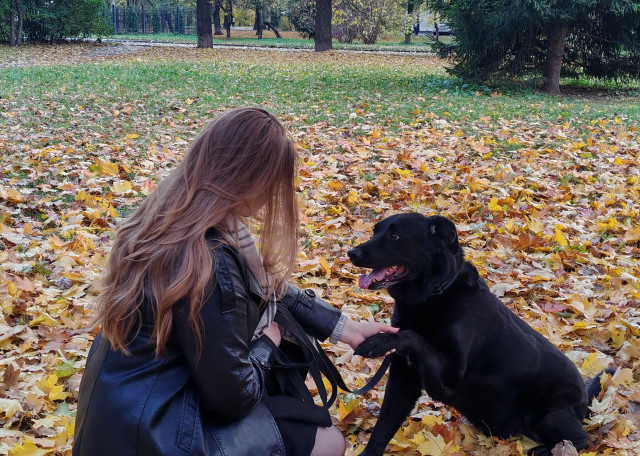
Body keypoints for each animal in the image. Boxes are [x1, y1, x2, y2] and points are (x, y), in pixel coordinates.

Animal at [348, 213, 607, 456]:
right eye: (375, 231)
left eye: (395, 236)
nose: (352, 253)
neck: (433, 294)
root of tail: (584, 404)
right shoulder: (403, 379)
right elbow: (383, 426)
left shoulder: (450, 376)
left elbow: (413, 336)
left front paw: (379, 341)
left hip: (551, 413)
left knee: (580, 441)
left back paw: (545, 449)